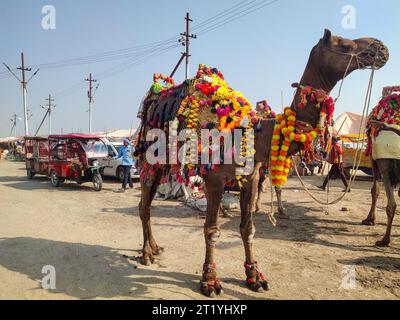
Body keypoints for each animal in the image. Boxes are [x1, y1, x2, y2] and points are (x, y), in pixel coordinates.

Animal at [134, 30, 388, 298]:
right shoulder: (214, 179)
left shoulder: (252, 177)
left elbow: (248, 228)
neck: (251, 132)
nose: (380, 48)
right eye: (344, 45)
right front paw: (210, 280)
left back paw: (155, 247)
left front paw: (254, 276)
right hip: (150, 159)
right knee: (144, 205)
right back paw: (147, 254)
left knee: (146, 205)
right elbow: (211, 229)